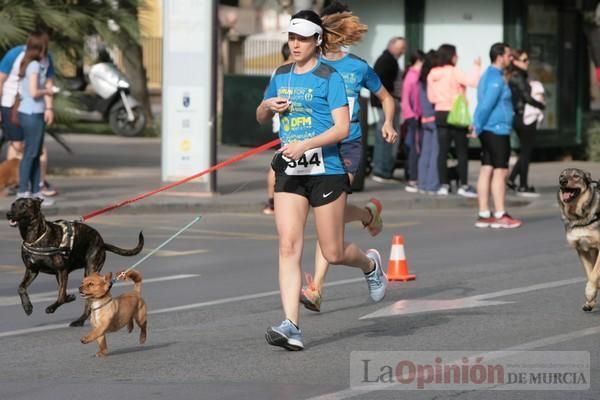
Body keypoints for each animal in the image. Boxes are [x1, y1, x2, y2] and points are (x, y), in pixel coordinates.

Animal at [6, 198, 144, 326]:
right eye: (13, 204)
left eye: (25, 205)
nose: (8, 214)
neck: (35, 238)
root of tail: (102, 243)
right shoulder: (32, 270)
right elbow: (21, 288)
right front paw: (27, 306)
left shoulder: (62, 271)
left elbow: (61, 296)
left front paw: (52, 307)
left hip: (89, 269)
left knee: (87, 299)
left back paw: (80, 320)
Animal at [556, 167, 600, 310]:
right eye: (561, 176)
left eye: (576, 176)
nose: (562, 181)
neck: (578, 217)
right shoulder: (582, 249)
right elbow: (590, 273)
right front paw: (590, 301)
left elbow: (593, 274)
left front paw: (590, 292)